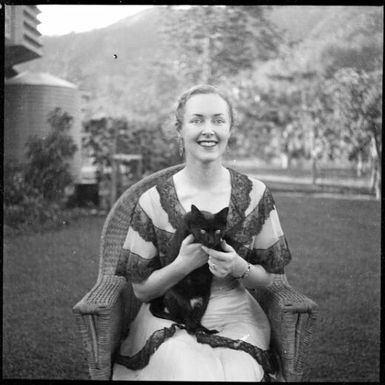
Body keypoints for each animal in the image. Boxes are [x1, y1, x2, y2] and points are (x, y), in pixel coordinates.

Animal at [149, 204, 228, 332]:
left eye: (217, 231)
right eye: (202, 230)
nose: (211, 241)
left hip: (204, 298)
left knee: (196, 318)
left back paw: (205, 330)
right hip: (176, 295)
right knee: (185, 317)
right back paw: (192, 328)